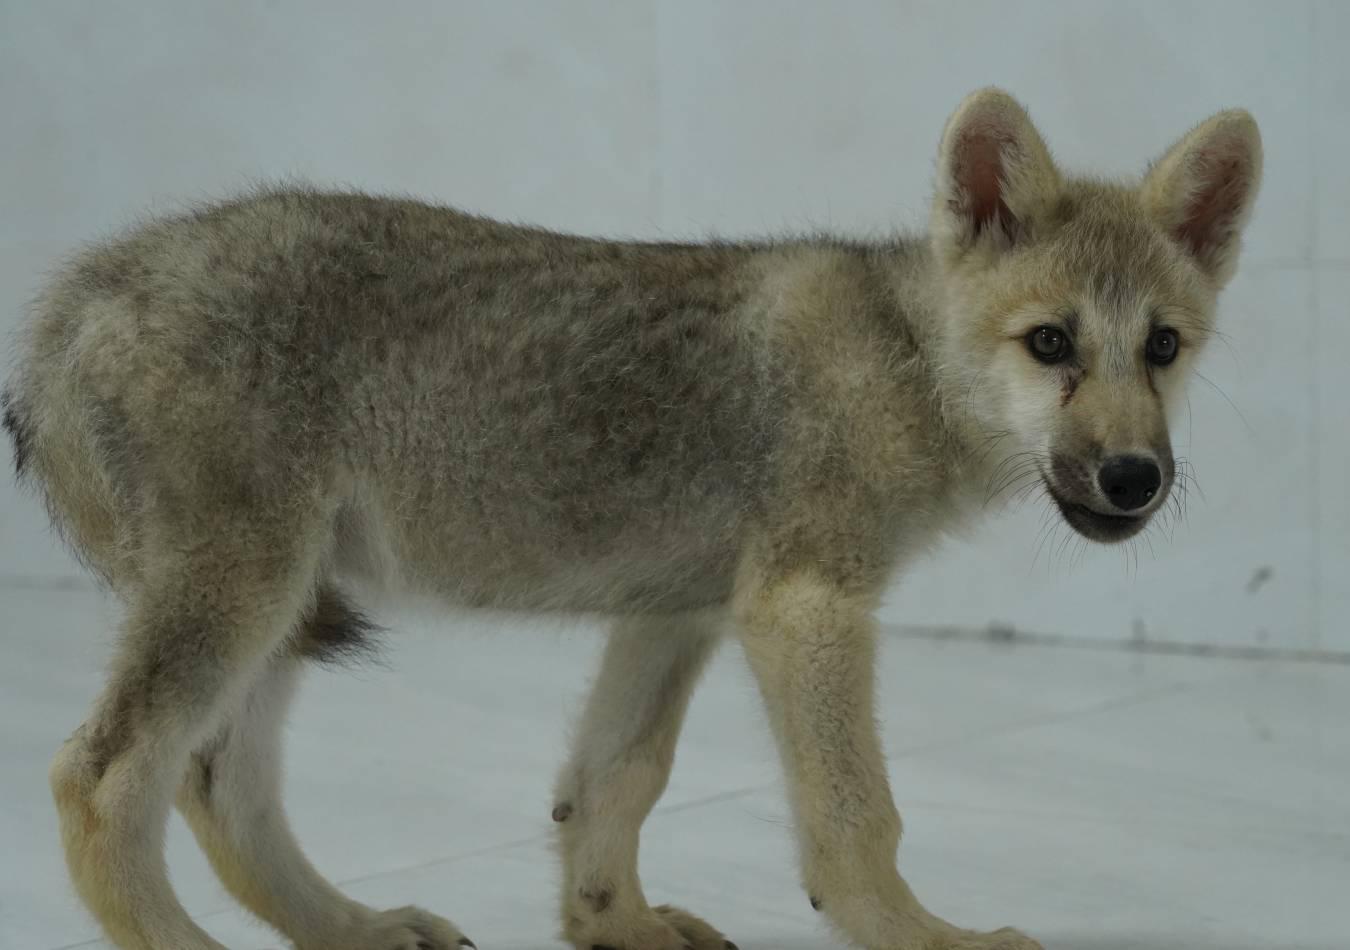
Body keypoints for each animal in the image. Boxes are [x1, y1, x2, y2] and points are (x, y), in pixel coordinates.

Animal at [3, 88, 1260, 950]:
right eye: (1051, 343)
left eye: (1163, 346)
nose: (1136, 478)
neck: (906, 359)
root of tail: (77, 294)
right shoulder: (806, 611)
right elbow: (858, 817)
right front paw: (924, 935)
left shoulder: (678, 614)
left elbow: (614, 779)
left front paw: (613, 924)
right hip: (242, 595)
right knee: (100, 774)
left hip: (277, 609)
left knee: (217, 783)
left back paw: (354, 928)